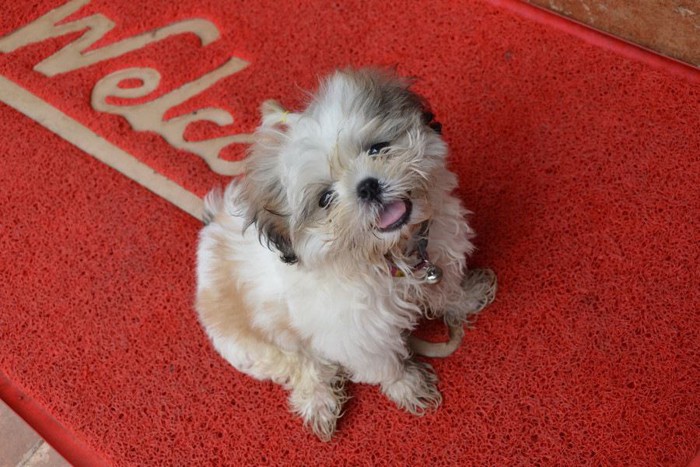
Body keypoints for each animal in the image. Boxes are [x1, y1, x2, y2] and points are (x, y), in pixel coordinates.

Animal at [194, 67, 494, 440]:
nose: (368, 186)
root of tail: (209, 233)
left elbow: (447, 288)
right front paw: (407, 384)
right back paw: (320, 401)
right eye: (325, 198)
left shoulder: (438, 249)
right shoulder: (357, 333)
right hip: (253, 345)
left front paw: (467, 296)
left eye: (377, 148)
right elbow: (382, 363)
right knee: (302, 365)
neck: (389, 254)